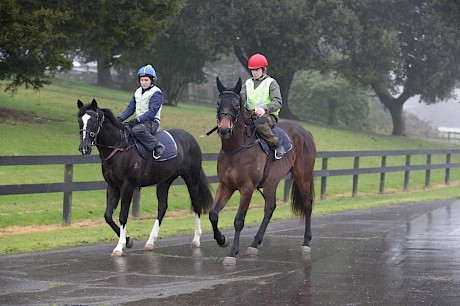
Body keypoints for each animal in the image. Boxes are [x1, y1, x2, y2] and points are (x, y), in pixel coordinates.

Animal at [77, 98, 212, 256]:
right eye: (80, 120)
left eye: (93, 120)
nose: (84, 147)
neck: (119, 148)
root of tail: (190, 138)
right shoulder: (112, 186)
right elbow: (108, 216)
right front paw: (128, 240)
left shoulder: (127, 186)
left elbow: (123, 215)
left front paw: (120, 246)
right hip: (164, 182)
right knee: (162, 207)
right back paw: (150, 242)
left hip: (191, 179)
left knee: (196, 204)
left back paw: (196, 239)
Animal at [209, 77, 314, 266]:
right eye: (219, 103)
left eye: (236, 105)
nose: (224, 129)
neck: (236, 149)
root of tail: (305, 132)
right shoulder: (226, 186)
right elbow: (213, 214)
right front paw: (222, 240)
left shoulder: (247, 188)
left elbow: (239, 220)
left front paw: (232, 252)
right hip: (272, 182)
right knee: (270, 208)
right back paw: (254, 244)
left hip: (303, 178)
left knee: (307, 205)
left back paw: (306, 242)